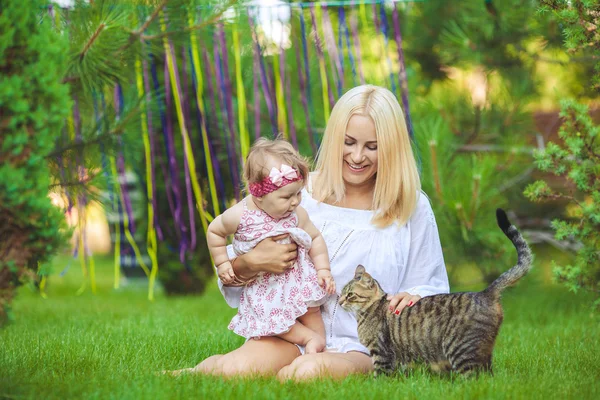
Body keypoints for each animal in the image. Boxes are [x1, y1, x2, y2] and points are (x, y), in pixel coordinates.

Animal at [340, 208, 532, 376]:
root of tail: (484, 293)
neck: (367, 311)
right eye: (341, 293)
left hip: (460, 349)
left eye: (350, 295)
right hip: (482, 353)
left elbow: (380, 376)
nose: (340, 301)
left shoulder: (381, 352)